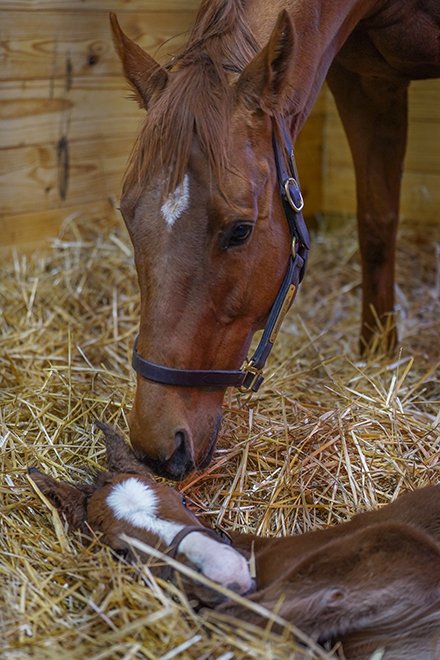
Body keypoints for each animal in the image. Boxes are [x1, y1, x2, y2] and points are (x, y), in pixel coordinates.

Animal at [111, 1, 440, 479]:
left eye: (240, 230)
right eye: (128, 215)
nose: (157, 446)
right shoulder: (368, 81)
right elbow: (377, 227)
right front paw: (379, 356)